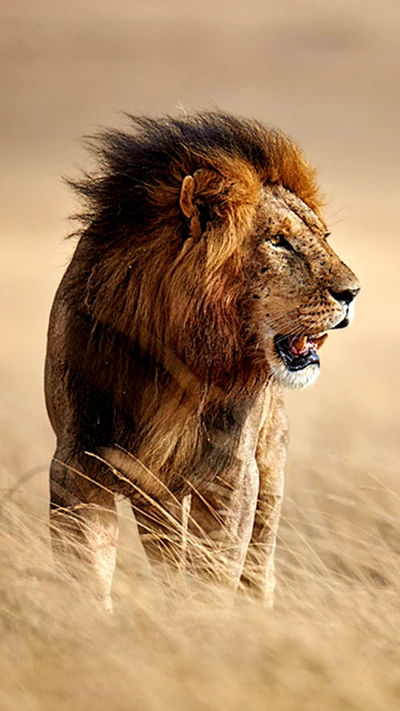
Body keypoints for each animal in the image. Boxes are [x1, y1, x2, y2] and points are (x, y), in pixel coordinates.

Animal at [44, 111, 360, 612]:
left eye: (324, 238)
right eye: (279, 242)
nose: (353, 293)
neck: (175, 355)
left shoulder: (231, 473)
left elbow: (215, 573)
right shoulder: (77, 460)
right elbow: (87, 573)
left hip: (269, 469)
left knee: (258, 563)